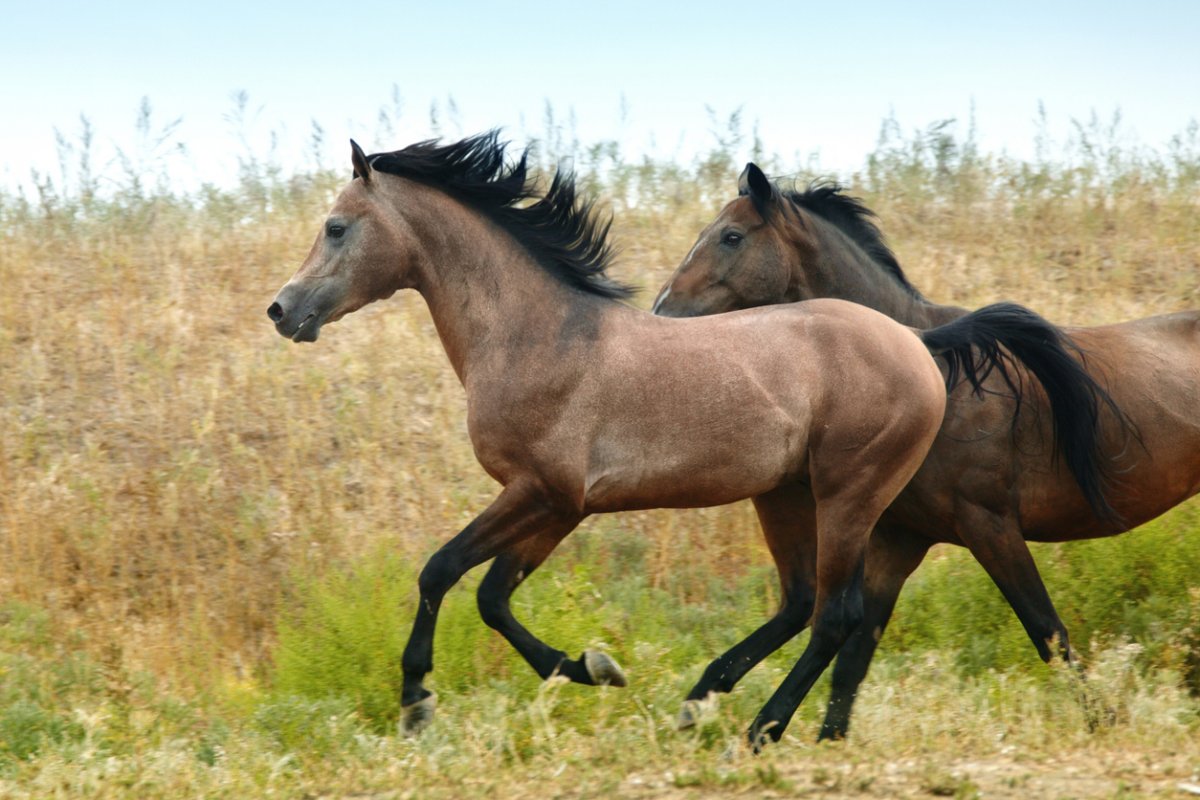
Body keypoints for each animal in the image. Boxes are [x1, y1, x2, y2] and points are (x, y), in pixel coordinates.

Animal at [267, 133, 1118, 753]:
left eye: (336, 226)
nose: (282, 310)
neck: (540, 336)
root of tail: (918, 342)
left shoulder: (541, 492)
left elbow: (441, 571)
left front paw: (417, 702)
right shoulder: (558, 506)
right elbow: (493, 596)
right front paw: (592, 668)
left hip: (849, 493)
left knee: (835, 613)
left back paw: (760, 726)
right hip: (784, 495)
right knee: (803, 601)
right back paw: (706, 704)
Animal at [657, 164, 1200, 743]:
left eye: (731, 237)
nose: (662, 312)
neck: (932, 369)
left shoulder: (990, 525)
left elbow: (1047, 631)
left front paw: (1104, 724)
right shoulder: (899, 539)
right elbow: (853, 657)